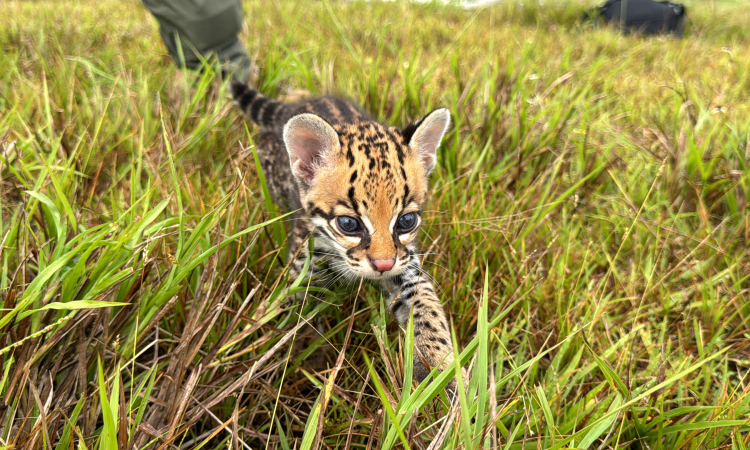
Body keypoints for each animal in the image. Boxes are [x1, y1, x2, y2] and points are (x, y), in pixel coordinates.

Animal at [229, 80, 464, 390]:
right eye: (348, 224)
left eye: (406, 221)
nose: (383, 265)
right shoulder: (304, 263)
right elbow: (294, 311)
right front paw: (289, 358)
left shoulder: (406, 261)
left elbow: (426, 303)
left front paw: (444, 367)